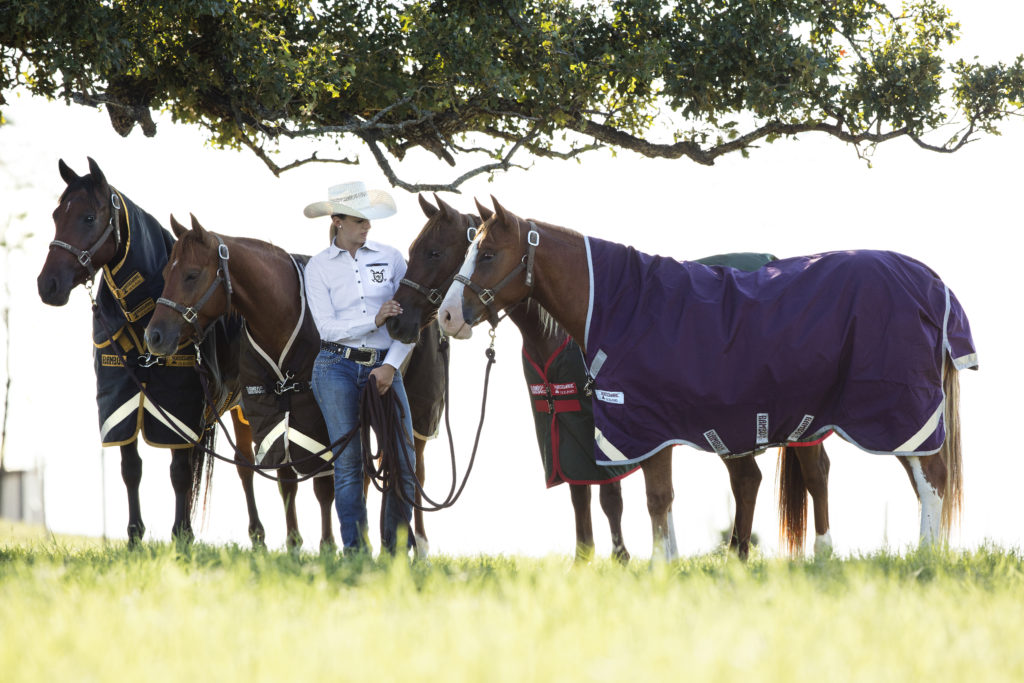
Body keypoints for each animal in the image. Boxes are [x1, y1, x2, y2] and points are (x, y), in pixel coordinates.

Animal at [37, 157, 264, 548]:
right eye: (56, 215)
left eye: (89, 217)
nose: (47, 285)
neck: (142, 315)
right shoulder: (121, 398)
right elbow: (131, 467)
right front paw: (134, 536)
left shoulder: (178, 403)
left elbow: (179, 471)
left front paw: (182, 535)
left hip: (242, 408)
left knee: (245, 464)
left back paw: (259, 535)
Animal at [144, 216, 444, 552]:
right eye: (167, 273)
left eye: (191, 275)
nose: (154, 336)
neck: (281, 320)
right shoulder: (274, 414)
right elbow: (286, 478)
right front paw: (293, 543)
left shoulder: (317, 421)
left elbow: (324, 484)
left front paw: (328, 545)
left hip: (416, 412)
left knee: (412, 468)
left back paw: (417, 542)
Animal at [387, 196, 770, 561]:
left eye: (435, 252)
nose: (396, 320)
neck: (559, 334)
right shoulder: (561, 427)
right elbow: (578, 493)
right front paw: (585, 558)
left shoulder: (602, 435)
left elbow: (610, 497)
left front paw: (621, 556)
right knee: (747, 478)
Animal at [436, 196, 970, 557]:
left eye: (486, 254)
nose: (446, 317)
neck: (617, 303)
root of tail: (931, 283)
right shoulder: (651, 430)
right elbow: (660, 500)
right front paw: (668, 564)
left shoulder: (644, 426)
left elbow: (655, 499)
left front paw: (658, 566)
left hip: (900, 414)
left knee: (930, 479)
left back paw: (924, 557)